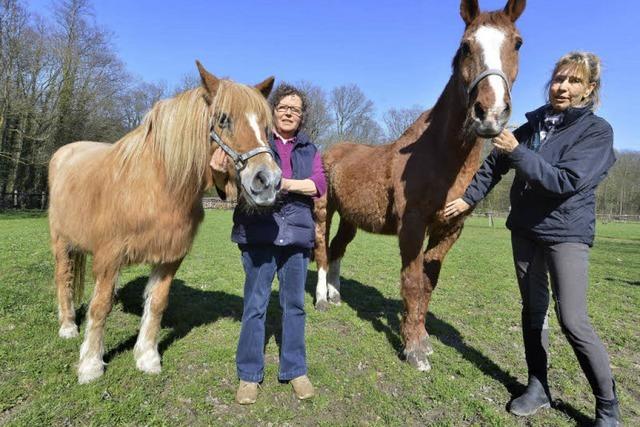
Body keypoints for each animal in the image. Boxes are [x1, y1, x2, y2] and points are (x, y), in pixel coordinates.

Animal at [50, 61, 280, 384]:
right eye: (223, 119)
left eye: (266, 127)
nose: (268, 181)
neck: (157, 187)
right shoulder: (109, 257)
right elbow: (100, 307)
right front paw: (91, 365)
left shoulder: (170, 257)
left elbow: (157, 304)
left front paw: (147, 357)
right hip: (61, 242)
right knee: (64, 279)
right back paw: (68, 326)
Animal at [314, 0, 524, 372]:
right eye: (465, 46)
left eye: (517, 43)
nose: (490, 113)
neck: (439, 155)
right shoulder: (411, 226)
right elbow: (412, 282)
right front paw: (413, 350)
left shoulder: (450, 228)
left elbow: (428, 282)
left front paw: (423, 339)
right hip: (326, 209)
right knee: (323, 251)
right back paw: (322, 299)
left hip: (351, 218)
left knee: (338, 249)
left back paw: (337, 296)